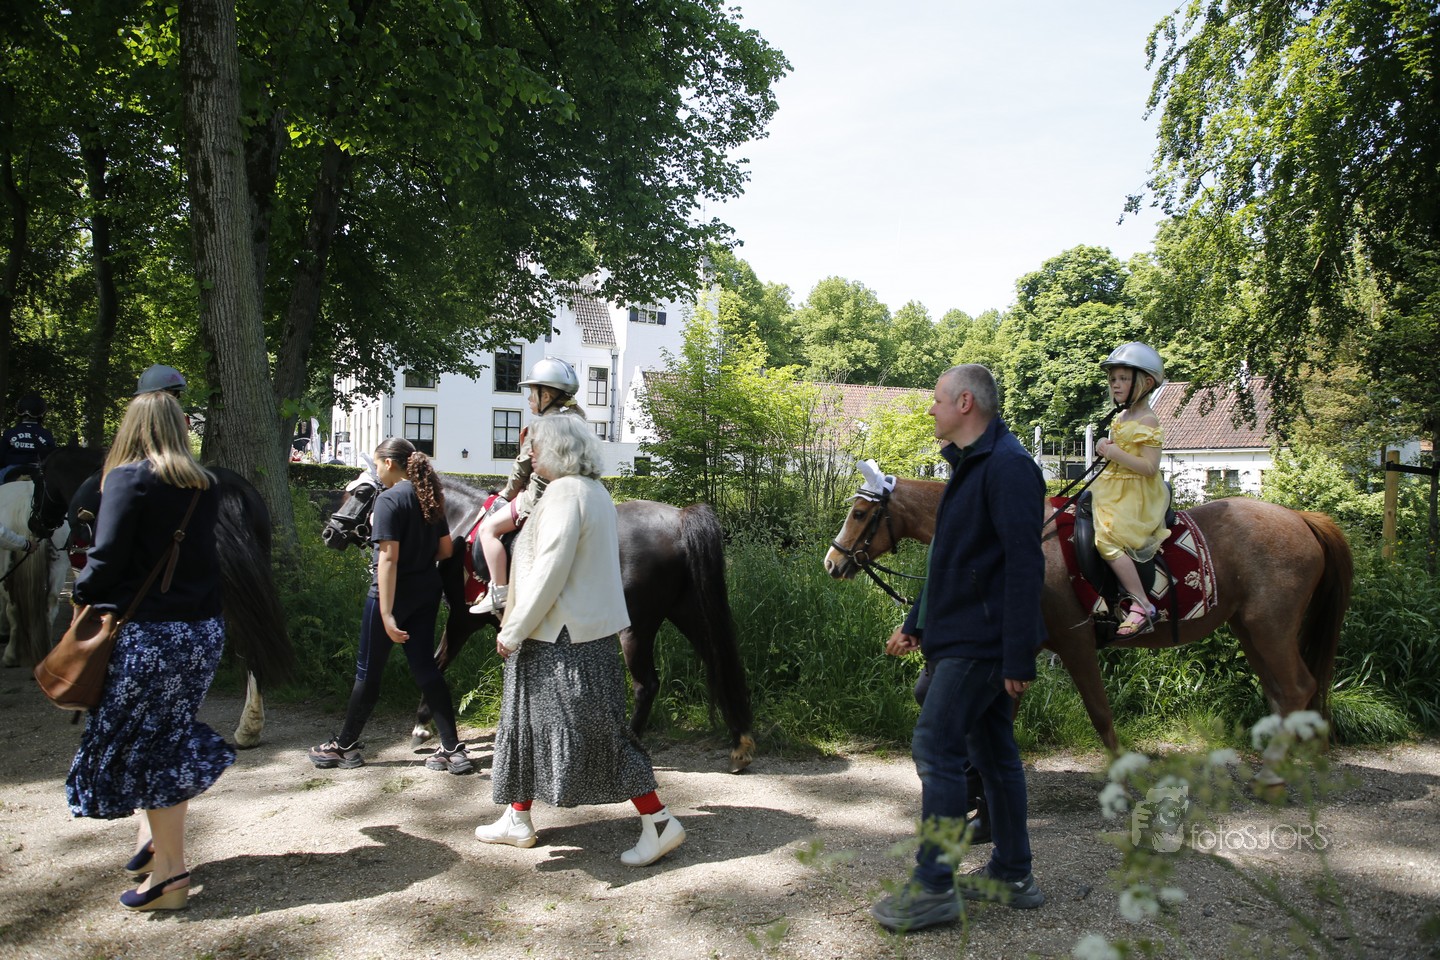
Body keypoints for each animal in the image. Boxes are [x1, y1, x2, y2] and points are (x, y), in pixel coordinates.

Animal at [322, 472, 757, 772]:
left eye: (361, 493)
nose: (331, 532)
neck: (464, 526)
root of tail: (679, 519)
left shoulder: (462, 618)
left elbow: (437, 661)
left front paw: (423, 724)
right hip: (688, 613)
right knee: (718, 662)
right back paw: (740, 742)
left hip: (636, 628)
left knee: (646, 684)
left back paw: (632, 738)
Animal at [823, 475, 1352, 758]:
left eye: (858, 513)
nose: (832, 562)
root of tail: (1302, 518)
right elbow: (1005, 716)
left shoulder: (1075, 644)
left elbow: (1100, 713)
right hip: (1251, 630)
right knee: (1283, 693)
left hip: (1271, 629)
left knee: (1298, 688)